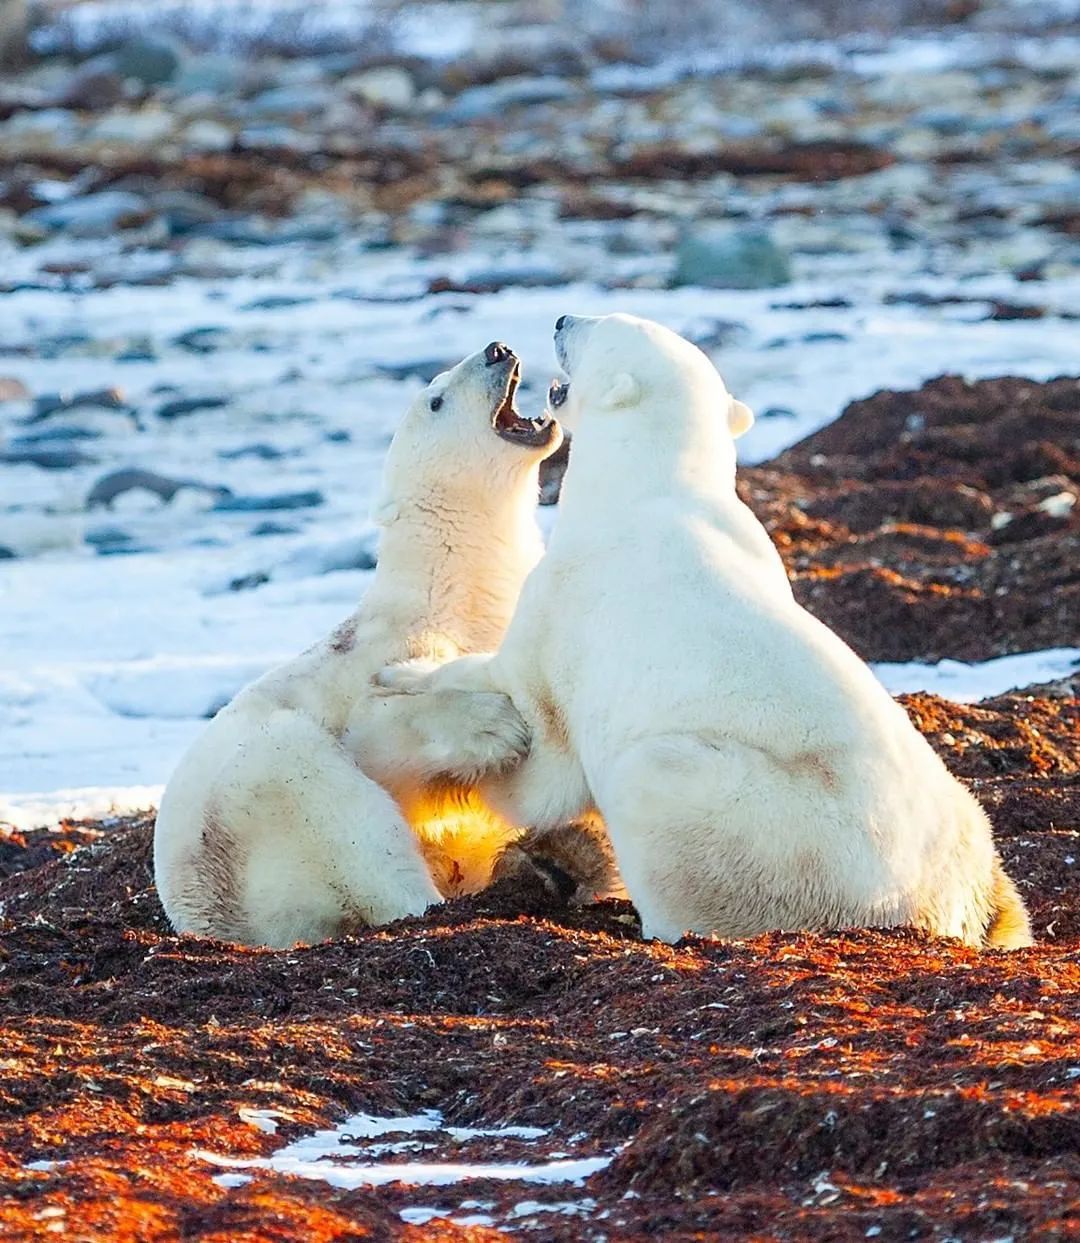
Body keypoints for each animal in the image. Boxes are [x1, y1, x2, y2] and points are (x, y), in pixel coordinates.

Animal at [155, 340, 559, 939]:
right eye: (437, 399)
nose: (497, 349)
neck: (456, 586)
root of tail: (207, 917)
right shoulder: (378, 655)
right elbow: (380, 735)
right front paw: (495, 725)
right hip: (257, 812)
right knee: (347, 815)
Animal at [380, 313, 1029, 949]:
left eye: (599, 326)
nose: (561, 319)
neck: (649, 491)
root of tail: (943, 907)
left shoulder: (566, 607)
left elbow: (544, 757)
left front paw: (409, 673)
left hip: (760, 833)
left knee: (653, 791)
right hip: (966, 823)